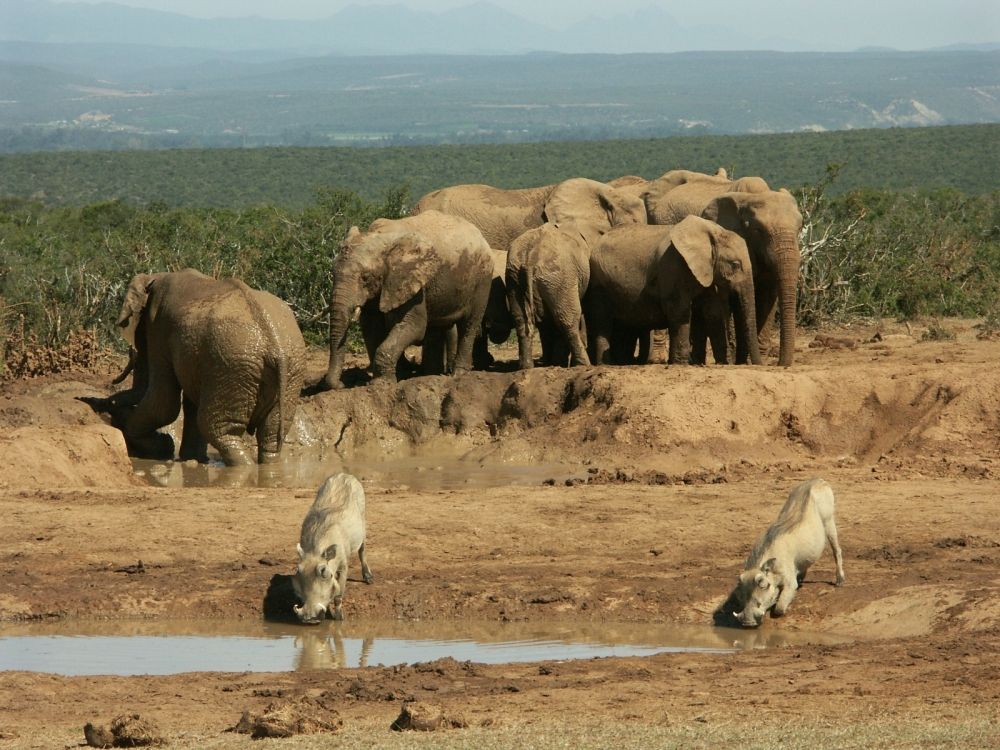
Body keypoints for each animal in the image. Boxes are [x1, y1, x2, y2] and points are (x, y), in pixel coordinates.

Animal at [110, 270, 304, 468]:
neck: (154, 277)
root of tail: (274, 344)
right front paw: (188, 456)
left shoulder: (159, 329)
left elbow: (164, 403)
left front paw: (159, 444)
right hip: (289, 370)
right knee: (271, 433)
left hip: (232, 365)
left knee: (217, 428)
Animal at [296, 472, 378, 624]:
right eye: (298, 571)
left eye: (323, 572)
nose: (309, 618)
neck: (316, 549)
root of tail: (345, 474)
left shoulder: (343, 566)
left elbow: (338, 596)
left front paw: (339, 618)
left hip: (363, 524)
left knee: (362, 550)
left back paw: (368, 577)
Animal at [322, 210, 494, 390]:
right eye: (332, 273)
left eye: (365, 278)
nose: (341, 385)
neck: (381, 238)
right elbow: (371, 326)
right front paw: (390, 378)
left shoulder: (410, 281)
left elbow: (414, 326)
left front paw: (381, 384)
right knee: (436, 327)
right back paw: (430, 375)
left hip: (482, 280)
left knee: (468, 325)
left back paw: (458, 375)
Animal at [736, 482, 844, 628]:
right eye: (740, 585)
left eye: (763, 584)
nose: (748, 622)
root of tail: (818, 480)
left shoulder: (790, 583)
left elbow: (780, 607)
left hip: (829, 522)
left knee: (837, 550)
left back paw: (840, 581)